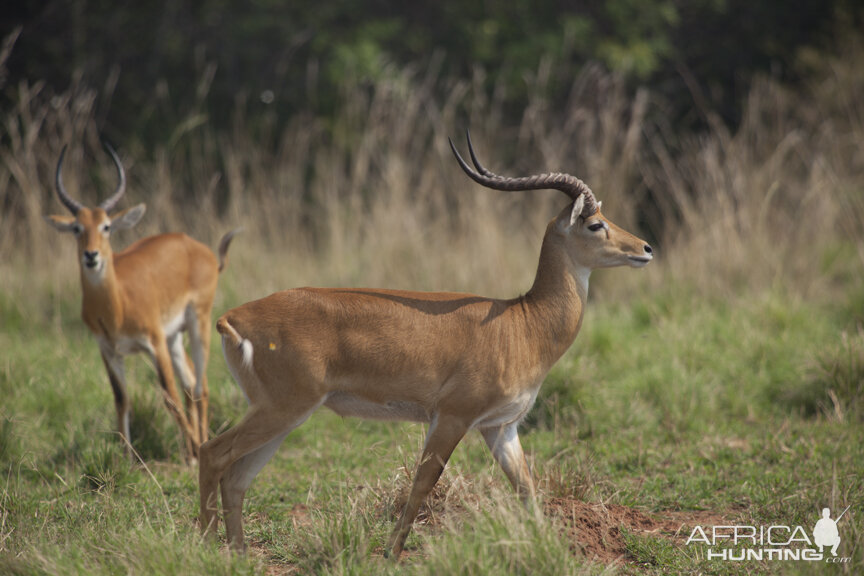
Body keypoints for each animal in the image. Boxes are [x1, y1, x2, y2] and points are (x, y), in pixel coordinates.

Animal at [45, 143, 236, 464]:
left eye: (107, 226)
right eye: (76, 228)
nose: (91, 255)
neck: (115, 306)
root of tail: (199, 248)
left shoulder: (154, 342)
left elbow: (169, 396)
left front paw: (192, 455)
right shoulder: (108, 349)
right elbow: (121, 399)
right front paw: (126, 457)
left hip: (198, 323)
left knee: (199, 386)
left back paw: (200, 447)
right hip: (174, 337)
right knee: (190, 383)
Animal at [199, 133, 652, 556]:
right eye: (595, 224)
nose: (646, 248)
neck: (523, 323)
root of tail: (232, 317)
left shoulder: (500, 428)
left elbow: (526, 489)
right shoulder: (451, 416)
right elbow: (423, 483)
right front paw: (391, 553)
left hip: (286, 416)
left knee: (236, 478)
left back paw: (239, 553)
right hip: (282, 408)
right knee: (212, 452)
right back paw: (204, 545)